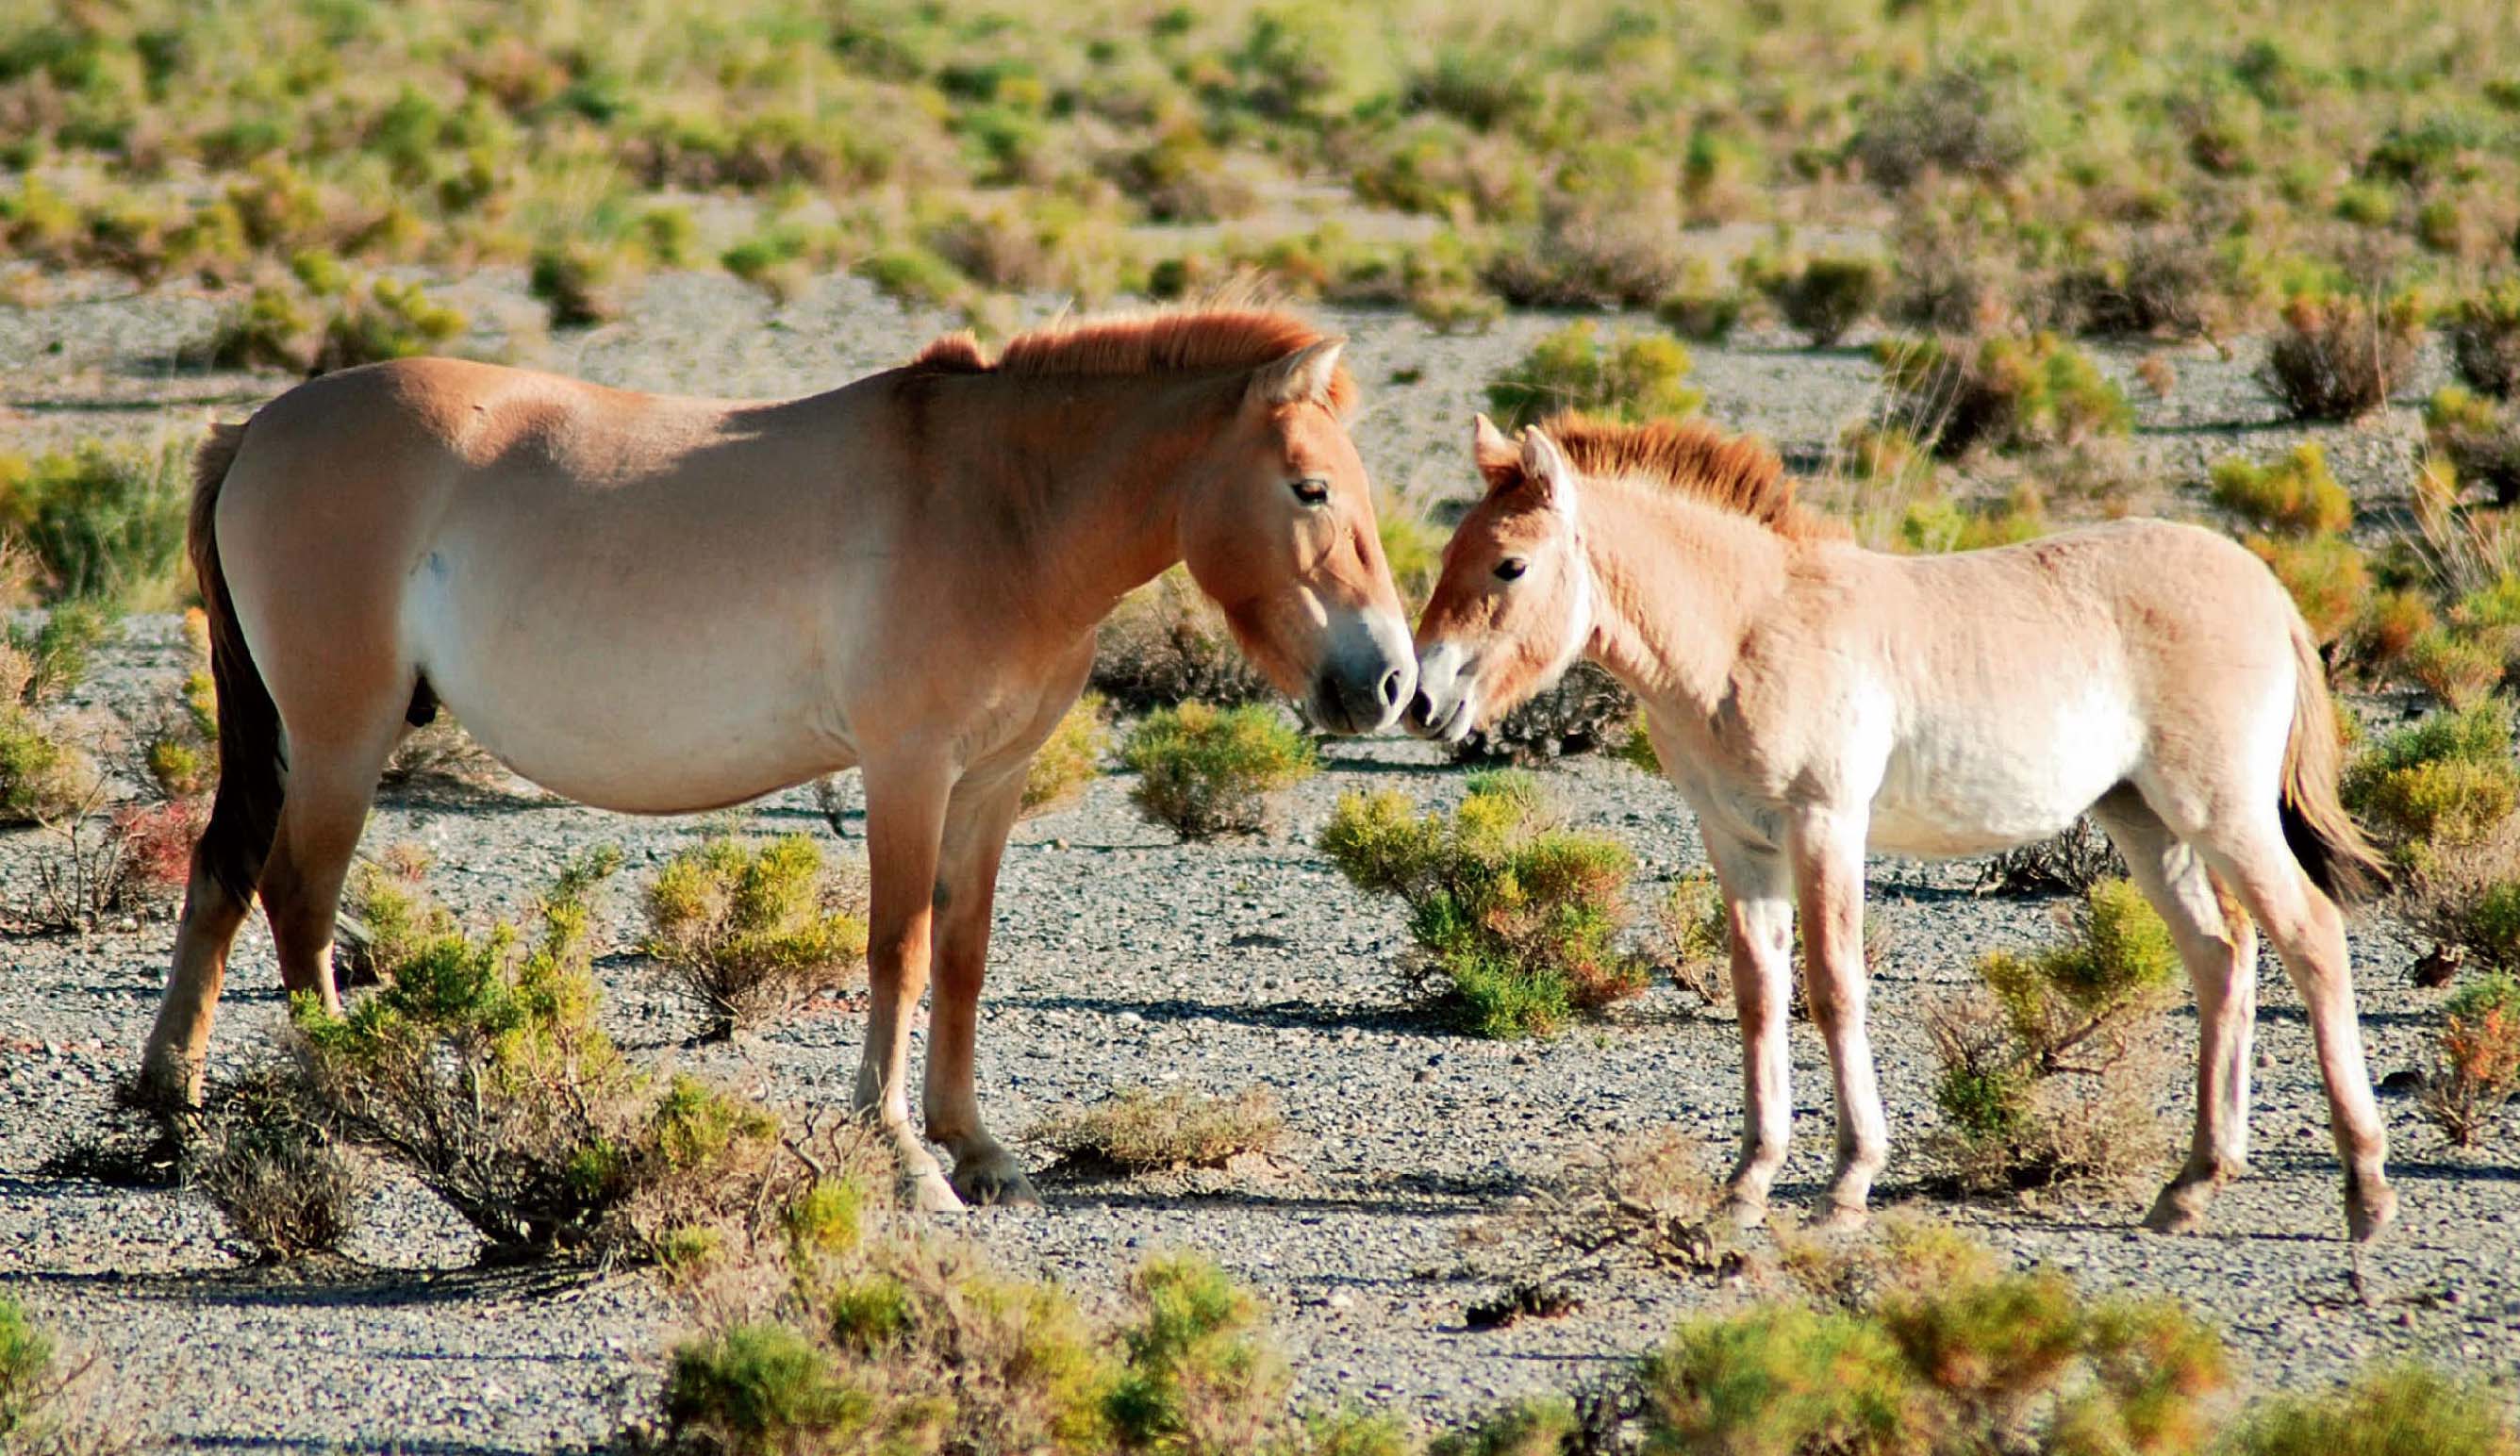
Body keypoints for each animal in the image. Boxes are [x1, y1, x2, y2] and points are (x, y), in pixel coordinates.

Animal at [142, 299, 1421, 1209]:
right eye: (1310, 488)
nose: (1388, 684)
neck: (996, 505)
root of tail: (255, 430)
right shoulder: (908, 770)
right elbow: (899, 952)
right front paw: (904, 1155)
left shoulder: (989, 783)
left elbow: (963, 953)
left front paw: (976, 1148)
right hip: (341, 738)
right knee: (298, 901)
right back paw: (342, 1098)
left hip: (287, 737)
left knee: (222, 874)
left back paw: (170, 1100)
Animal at [1411, 407, 2389, 1233]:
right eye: (1451, 551)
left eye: (1510, 565)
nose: (1421, 699)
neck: (1744, 632)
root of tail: (2262, 585)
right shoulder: (1740, 845)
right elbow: (1758, 994)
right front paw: (1748, 1182)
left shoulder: (1825, 826)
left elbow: (1835, 986)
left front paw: (1848, 1183)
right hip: (2147, 822)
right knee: (2222, 959)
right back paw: (2192, 1187)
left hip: (2221, 812)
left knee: (2311, 937)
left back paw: (2365, 1190)